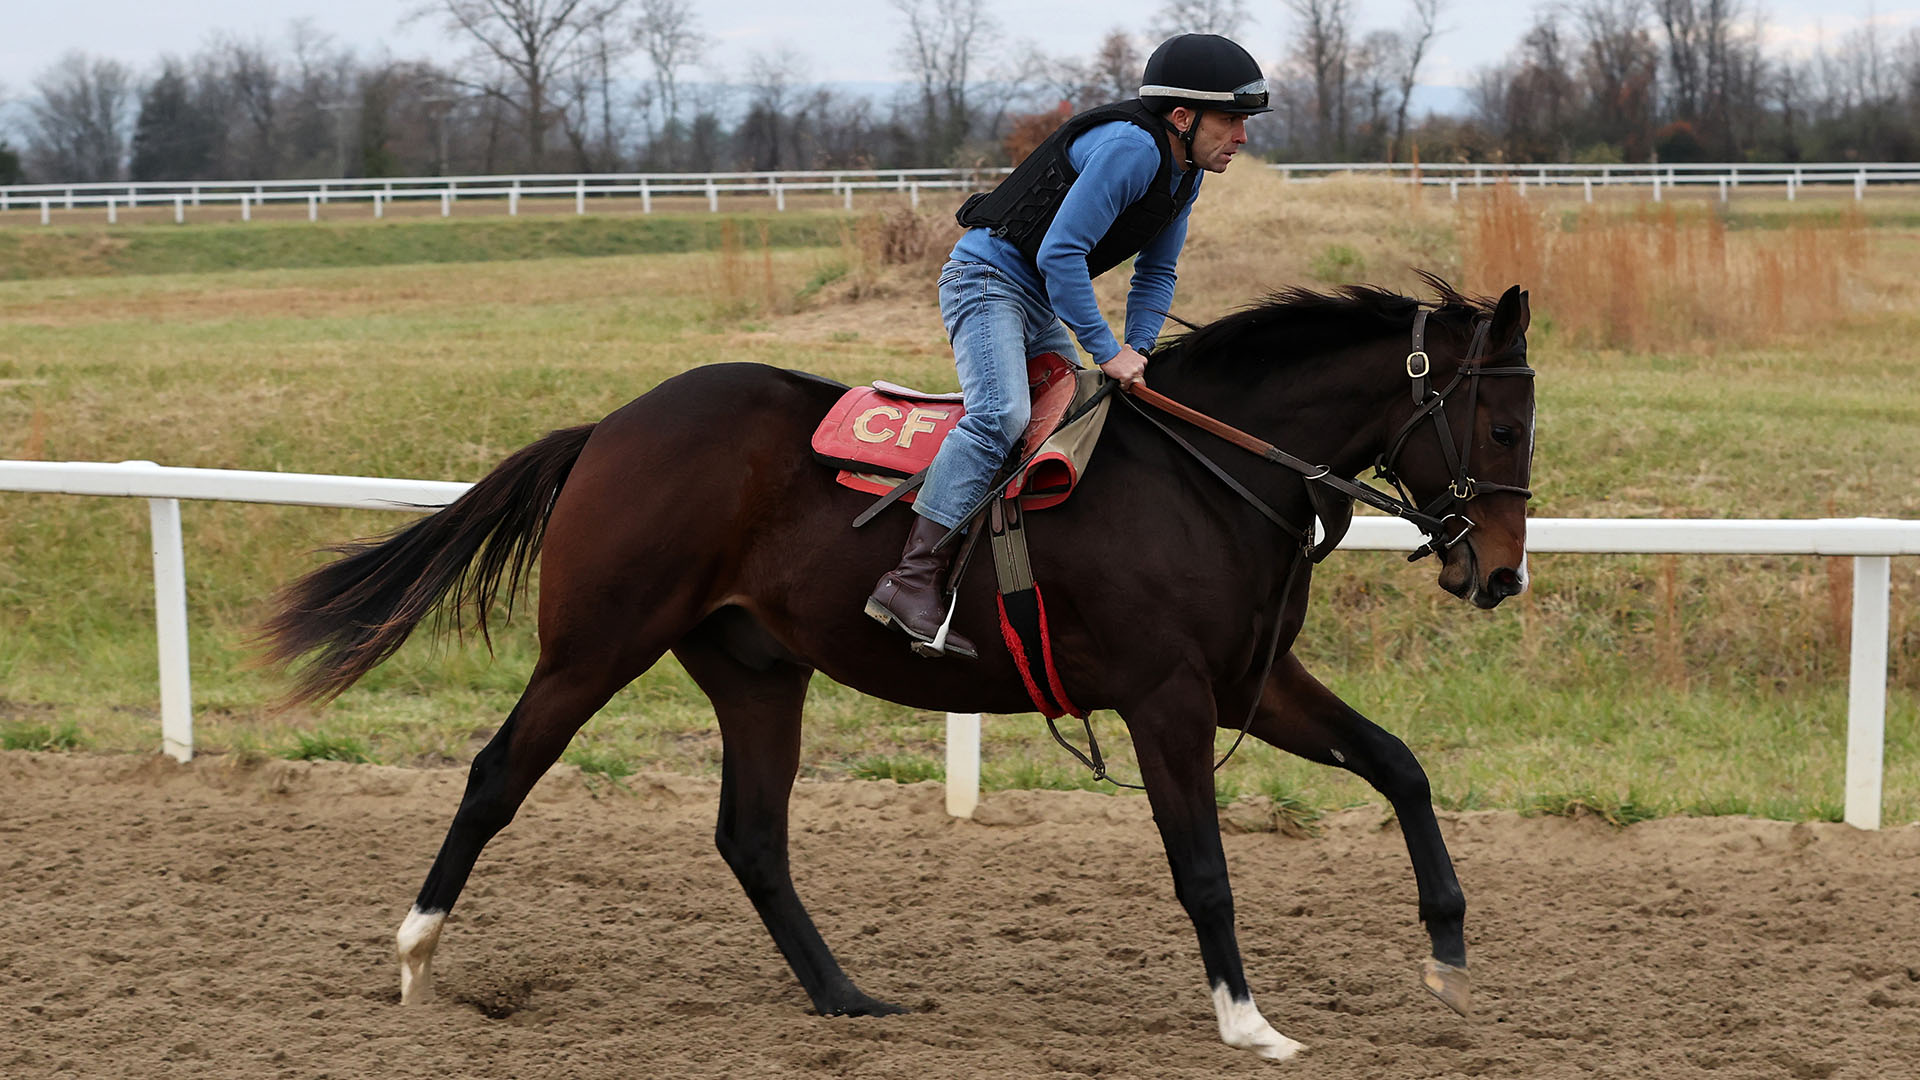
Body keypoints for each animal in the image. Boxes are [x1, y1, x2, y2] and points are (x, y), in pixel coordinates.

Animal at [263, 276, 1536, 1060]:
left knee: (750, 834)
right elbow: (1205, 870)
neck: (1208, 474)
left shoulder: (1247, 683)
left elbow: (1400, 765)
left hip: (759, 670)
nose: (1499, 574)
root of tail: (610, 427)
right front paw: (1248, 1024)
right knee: (495, 776)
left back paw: (842, 996)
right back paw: (417, 957)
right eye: (1504, 425)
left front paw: (1449, 955)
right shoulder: (1166, 697)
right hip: (594, 644)